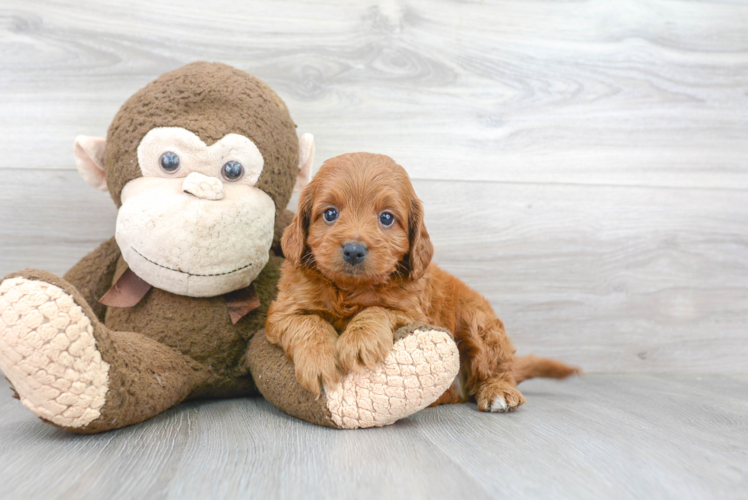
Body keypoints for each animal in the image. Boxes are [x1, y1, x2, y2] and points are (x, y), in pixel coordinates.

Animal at [266, 154, 576, 412]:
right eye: (330, 213)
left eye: (386, 218)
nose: (354, 250)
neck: (350, 289)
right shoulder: (282, 311)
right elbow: (308, 323)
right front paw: (320, 362)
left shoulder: (413, 312)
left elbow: (377, 310)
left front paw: (359, 341)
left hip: (479, 322)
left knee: (497, 369)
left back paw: (498, 391)